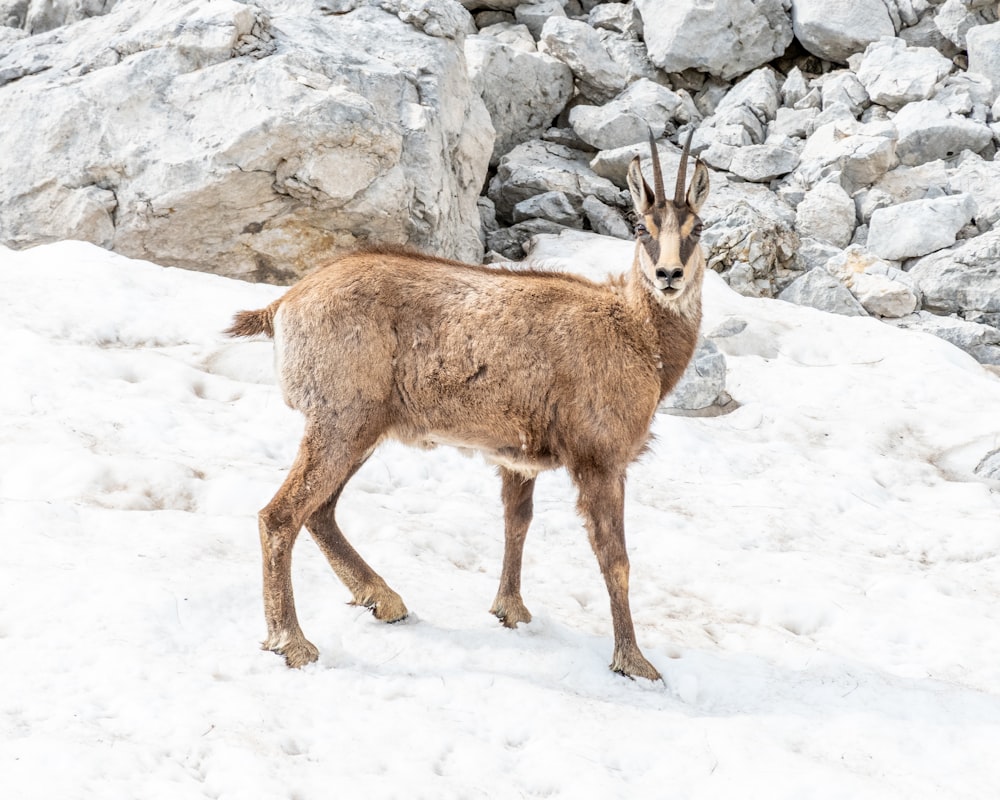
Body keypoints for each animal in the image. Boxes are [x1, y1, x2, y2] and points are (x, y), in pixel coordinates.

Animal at [227, 131, 712, 680]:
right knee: (281, 515)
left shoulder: (518, 458)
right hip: (341, 420)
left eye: (698, 227)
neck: (638, 333)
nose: (669, 274)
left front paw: (512, 610)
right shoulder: (601, 459)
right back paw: (292, 641)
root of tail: (283, 305)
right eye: (641, 227)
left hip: (360, 429)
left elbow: (516, 522)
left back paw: (382, 599)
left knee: (320, 510)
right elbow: (615, 557)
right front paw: (634, 661)